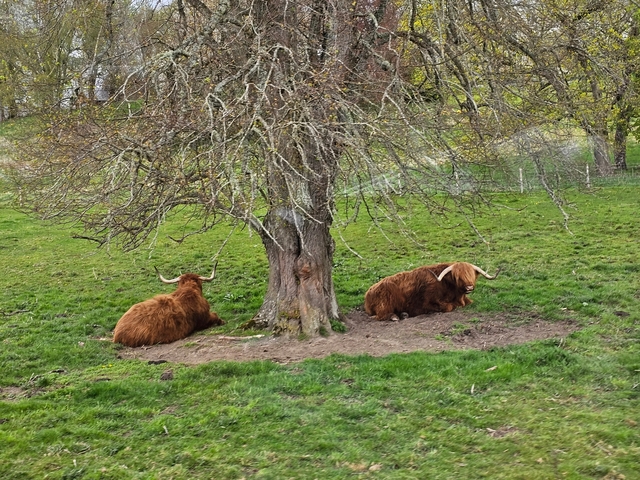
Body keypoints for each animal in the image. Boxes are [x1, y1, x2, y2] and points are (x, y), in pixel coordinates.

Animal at [364, 262, 500, 321]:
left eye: (471, 275)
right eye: (458, 277)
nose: (469, 287)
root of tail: (368, 293)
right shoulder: (426, 302)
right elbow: (448, 307)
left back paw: (403, 314)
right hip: (385, 303)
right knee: (381, 315)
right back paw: (395, 317)